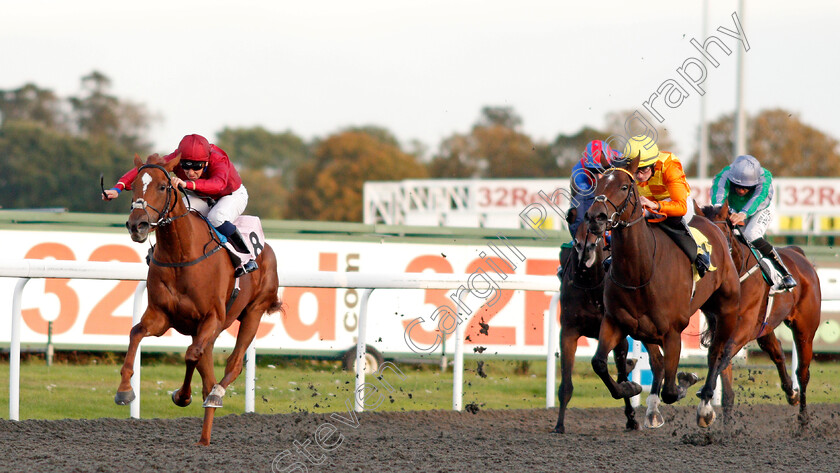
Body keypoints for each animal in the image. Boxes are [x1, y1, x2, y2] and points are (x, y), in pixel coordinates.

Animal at [113, 153, 284, 444]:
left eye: (163, 187)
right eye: (133, 186)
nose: (137, 225)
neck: (181, 254)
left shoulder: (211, 317)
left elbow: (192, 355)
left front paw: (183, 396)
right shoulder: (161, 316)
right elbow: (135, 333)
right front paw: (125, 390)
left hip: (253, 312)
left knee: (232, 365)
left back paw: (216, 395)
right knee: (207, 373)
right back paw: (204, 437)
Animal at [552, 221, 644, 432]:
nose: (585, 247)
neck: (591, 285)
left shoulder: (617, 334)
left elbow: (618, 375)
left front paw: (631, 414)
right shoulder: (568, 332)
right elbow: (566, 384)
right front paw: (559, 425)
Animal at [584, 158, 740, 428]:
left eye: (624, 186)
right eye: (598, 184)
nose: (596, 217)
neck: (640, 271)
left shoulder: (673, 332)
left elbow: (671, 390)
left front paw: (686, 380)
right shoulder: (616, 322)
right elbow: (599, 363)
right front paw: (630, 387)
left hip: (727, 311)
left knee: (717, 354)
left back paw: (705, 407)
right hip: (649, 329)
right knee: (657, 363)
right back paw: (653, 409)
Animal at [704, 201, 820, 422]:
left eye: (720, 234)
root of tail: (798, 253)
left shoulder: (744, 327)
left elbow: (725, 353)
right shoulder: (721, 327)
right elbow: (721, 367)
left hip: (805, 329)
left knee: (803, 372)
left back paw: (803, 418)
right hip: (766, 327)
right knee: (777, 351)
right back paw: (791, 393)